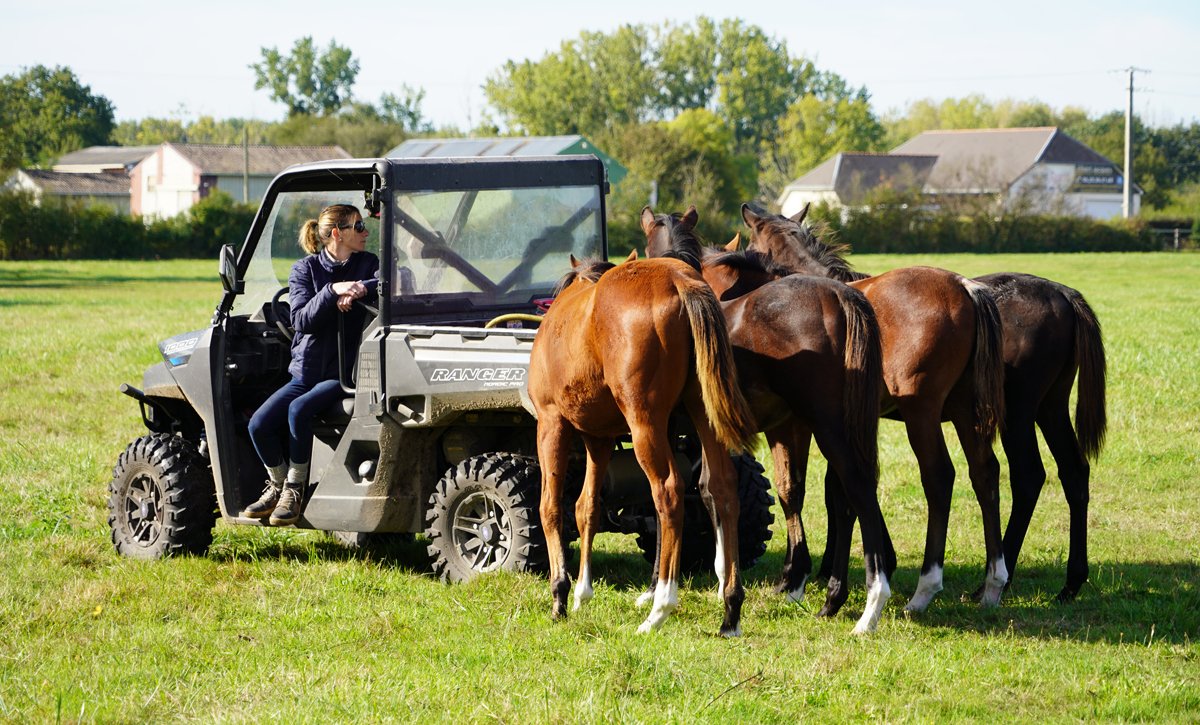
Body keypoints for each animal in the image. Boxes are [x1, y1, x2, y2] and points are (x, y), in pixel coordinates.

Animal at [528, 251, 758, 636]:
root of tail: (679, 280)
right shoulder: (599, 439)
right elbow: (587, 508)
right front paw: (581, 594)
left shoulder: (550, 423)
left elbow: (551, 507)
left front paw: (560, 594)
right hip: (701, 412)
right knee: (723, 487)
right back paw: (731, 609)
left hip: (644, 424)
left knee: (668, 491)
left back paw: (660, 607)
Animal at [643, 206, 894, 633]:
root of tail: (841, 295)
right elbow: (720, 489)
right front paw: (728, 575)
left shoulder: (675, 428)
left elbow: (677, 496)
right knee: (851, 491)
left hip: (829, 426)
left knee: (857, 488)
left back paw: (869, 605)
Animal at [741, 203, 1009, 613]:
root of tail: (965, 287)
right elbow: (843, 488)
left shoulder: (815, 424)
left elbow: (823, 491)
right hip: (966, 412)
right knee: (985, 474)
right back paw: (993, 583)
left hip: (921, 412)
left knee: (939, 477)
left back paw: (924, 589)